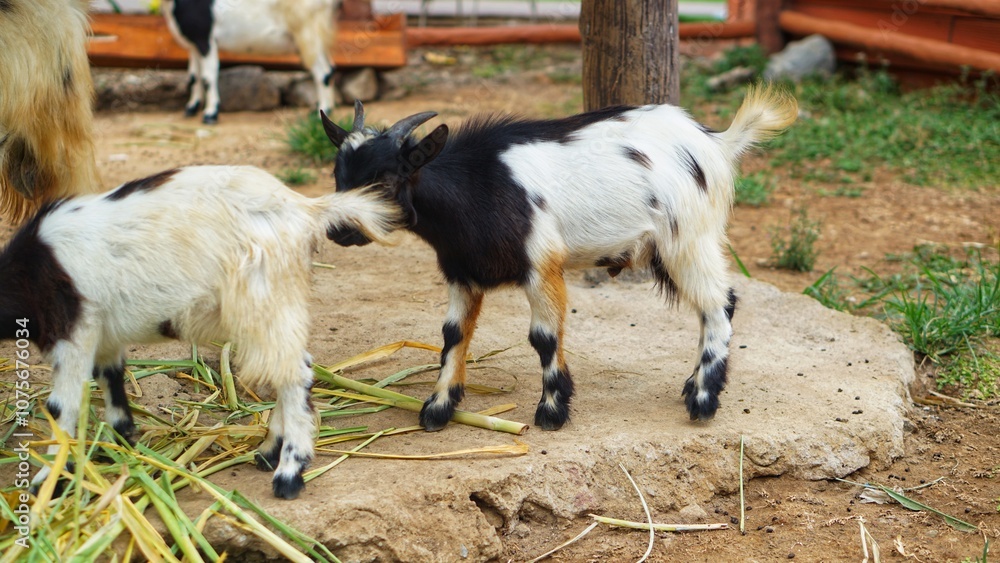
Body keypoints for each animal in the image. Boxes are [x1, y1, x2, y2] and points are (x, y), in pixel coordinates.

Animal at [0, 165, 400, 498]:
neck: (29, 268)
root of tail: (305, 208)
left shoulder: (71, 329)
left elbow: (61, 405)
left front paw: (47, 483)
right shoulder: (103, 332)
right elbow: (111, 379)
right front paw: (122, 439)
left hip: (264, 299)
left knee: (293, 375)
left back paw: (288, 474)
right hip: (274, 306)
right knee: (294, 367)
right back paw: (268, 451)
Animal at [162, 0, 338, 124]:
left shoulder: (205, 40)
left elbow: (207, 78)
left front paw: (210, 115)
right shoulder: (193, 45)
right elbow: (194, 76)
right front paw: (191, 109)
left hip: (307, 33)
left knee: (323, 72)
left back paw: (321, 112)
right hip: (318, 36)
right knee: (329, 68)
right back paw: (322, 109)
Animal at [320, 86, 798, 431]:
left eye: (386, 179)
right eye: (338, 174)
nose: (337, 229)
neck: (480, 183)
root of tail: (715, 142)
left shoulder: (541, 265)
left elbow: (544, 338)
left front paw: (551, 412)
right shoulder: (462, 270)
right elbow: (453, 335)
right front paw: (437, 408)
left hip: (689, 239)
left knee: (718, 306)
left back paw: (702, 400)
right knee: (715, 304)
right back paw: (693, 386)